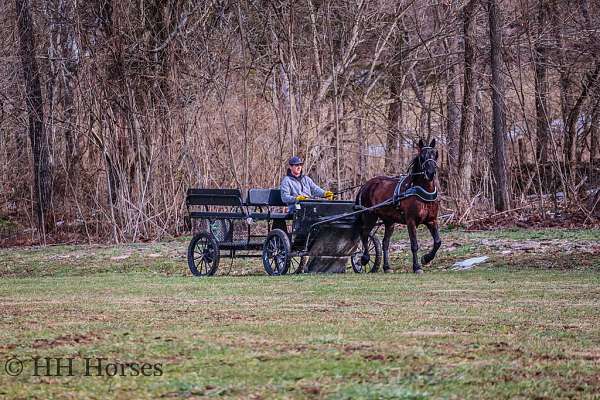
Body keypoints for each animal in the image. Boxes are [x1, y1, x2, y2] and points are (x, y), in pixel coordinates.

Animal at [356, 139, 440, 274]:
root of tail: (366, 185)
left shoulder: (431, 220)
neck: (420, 190)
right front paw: (417, 267)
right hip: (370, 216)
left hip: (389, 221)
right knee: (364, 234)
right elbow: (414, 245)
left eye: (435, 154)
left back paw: (387, 267)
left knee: (385, 243)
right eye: (422, 156)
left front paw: (426, 258)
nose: (430, 173)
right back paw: (364, 258)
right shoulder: (411, 221)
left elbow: (437, 242)